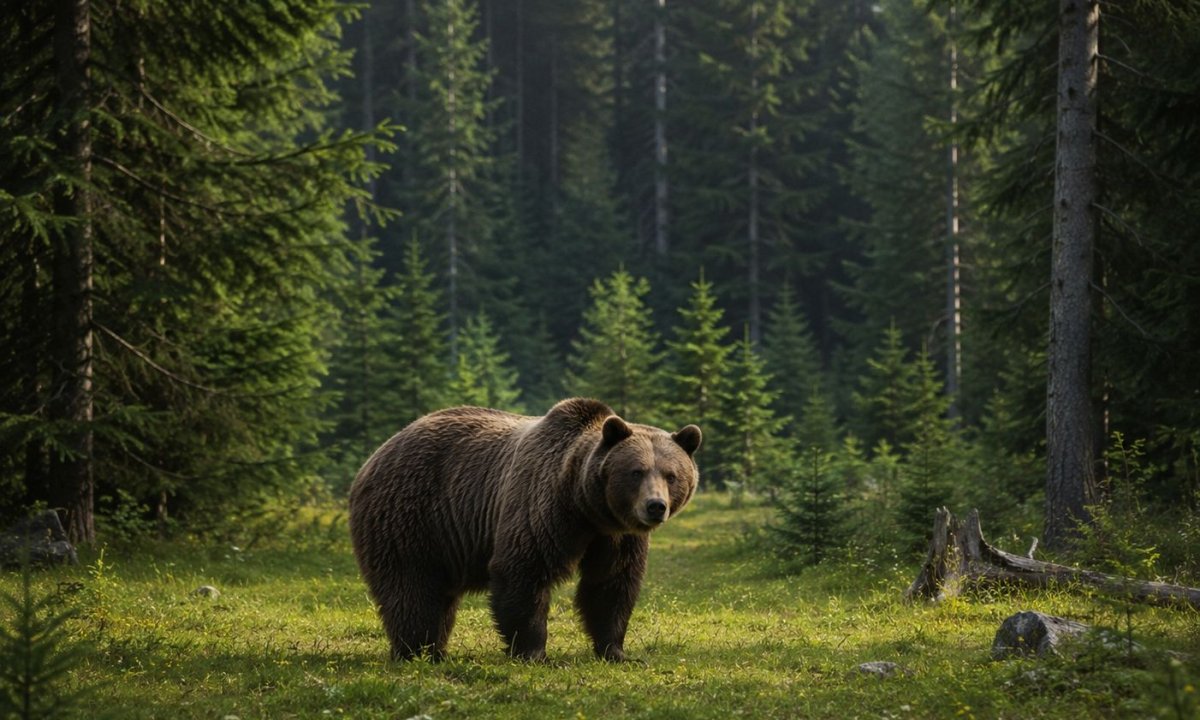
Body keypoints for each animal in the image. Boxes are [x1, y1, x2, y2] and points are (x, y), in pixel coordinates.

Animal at [348, 397, 702, 662]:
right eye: (636, 471)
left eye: (671, 475)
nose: (655, 506)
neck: (586, 507)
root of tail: (376, 455)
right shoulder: (540, 504)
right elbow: (524, 570)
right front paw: (534, 652)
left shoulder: (616, 536)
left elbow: (611, 583)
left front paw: (617, 651)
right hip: (411, 514)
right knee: (411, 586)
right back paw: (417, 651)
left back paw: (434, 649)